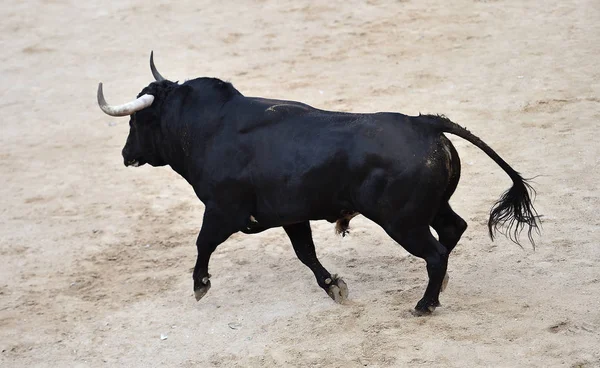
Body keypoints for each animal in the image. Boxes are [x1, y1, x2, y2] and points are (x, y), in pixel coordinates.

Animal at [97, 53, 540, 314]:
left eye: (138, 121)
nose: (125, 154)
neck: (208, 128)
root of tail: (424, 122)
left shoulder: (223, 210)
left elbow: (203, 242)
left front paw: (200, 285)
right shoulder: (291, 216)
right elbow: (306, 254)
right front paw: (334, 287)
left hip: (402, 221)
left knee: (434, 253)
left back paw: (424, 304)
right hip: (429, 208)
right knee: (452, 229)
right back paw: (440, 287)